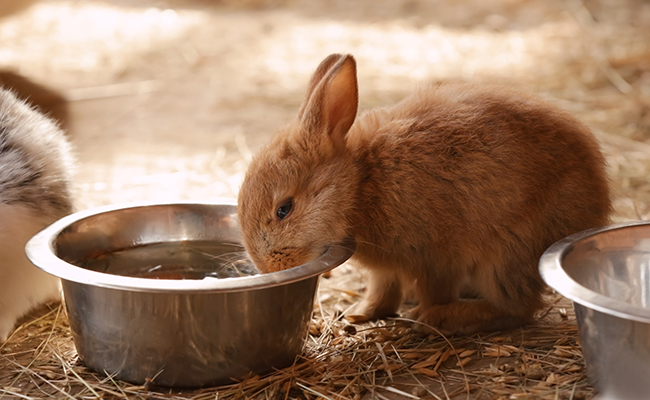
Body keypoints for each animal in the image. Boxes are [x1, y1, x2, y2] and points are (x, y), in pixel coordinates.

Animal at [235, 53, 612, 334]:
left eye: (284, 209)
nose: (268, 267)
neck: (360, 183)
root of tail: (597, 206)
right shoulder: (387, 269)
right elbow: (382, 289)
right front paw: (360, 312)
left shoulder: (435, 257)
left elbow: (434, 290)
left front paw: (424, 317)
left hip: (507, 254)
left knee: (517, 308)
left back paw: (445, 318)